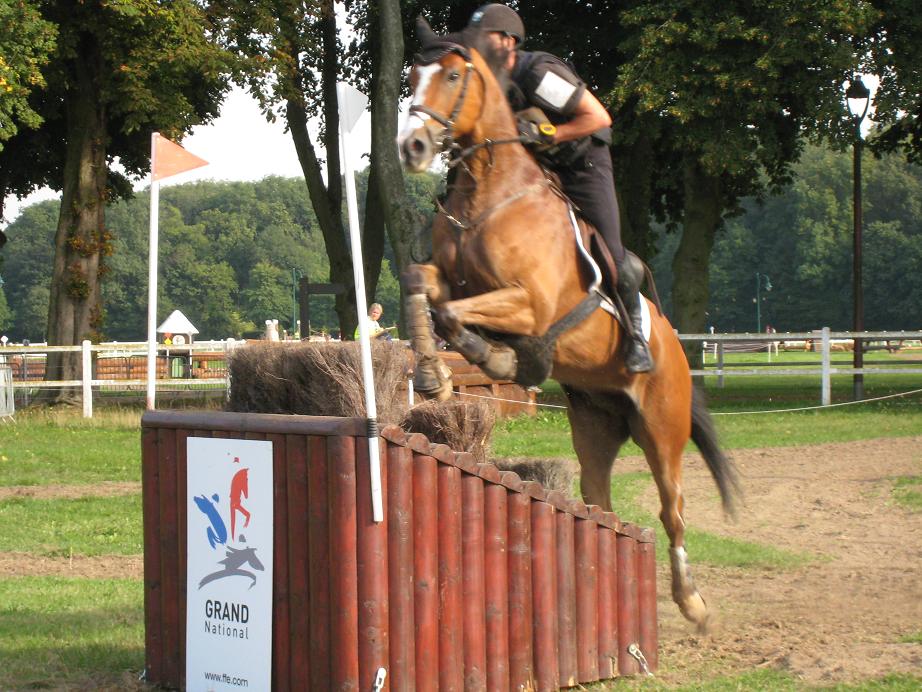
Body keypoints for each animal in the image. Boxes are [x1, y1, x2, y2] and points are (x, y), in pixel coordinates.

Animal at [398, 27, 740, 628]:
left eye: (454, 75)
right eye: (413, 77)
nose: (412, 147)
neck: (487, 191)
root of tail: (678, 350)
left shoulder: (530, 304)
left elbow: (459, 317)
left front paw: (501, 358)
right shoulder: (451, 281)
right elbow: (424, 289)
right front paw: (435, 374)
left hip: (662, 428)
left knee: (671, 509)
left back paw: (692, 602)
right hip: (595, 426)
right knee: (599, 500)